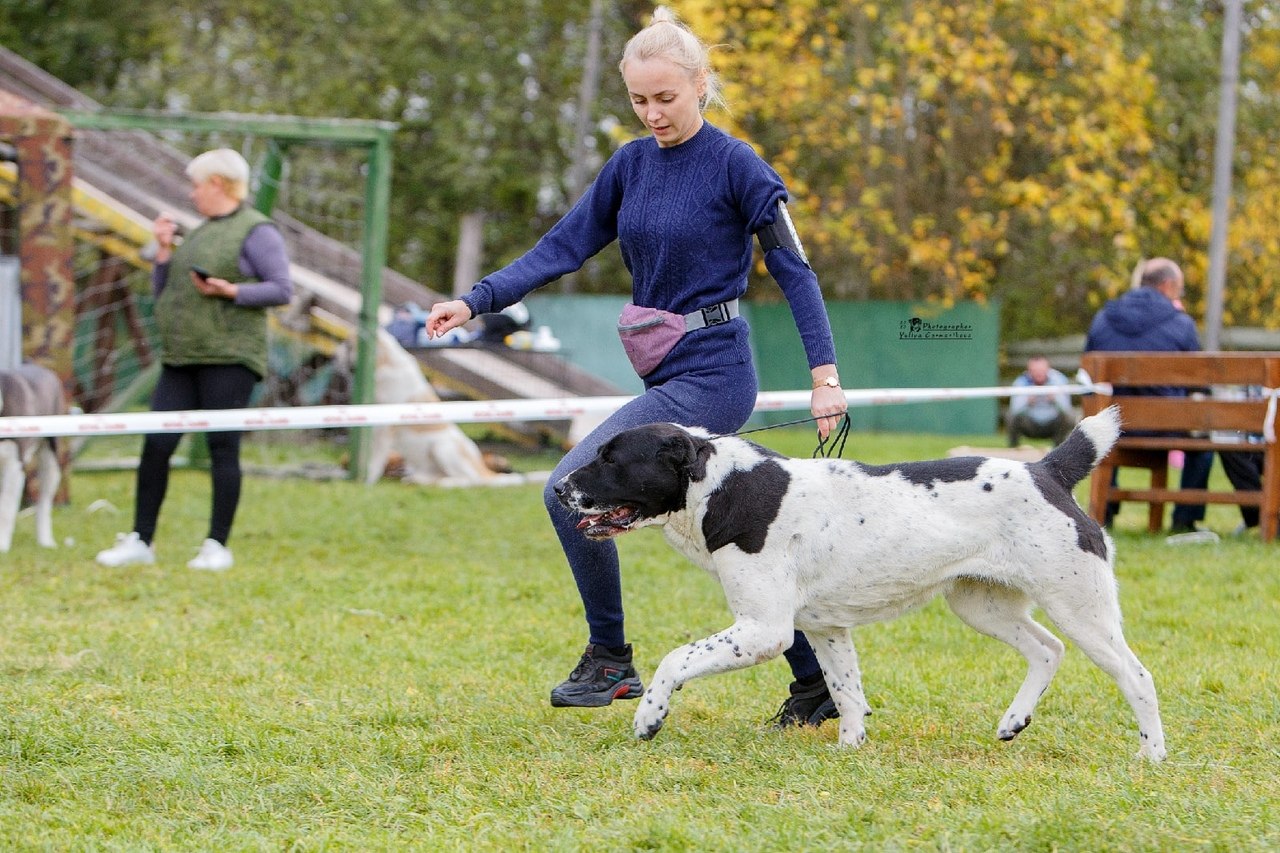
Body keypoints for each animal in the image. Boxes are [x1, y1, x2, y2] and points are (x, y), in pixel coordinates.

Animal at [0, 363, 66, 550]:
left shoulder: (14, 466)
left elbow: (6, 508)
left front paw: (2, 546)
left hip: (51, 457)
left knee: (44, 501)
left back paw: (46, 541)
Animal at [555, 409, 1167, 758]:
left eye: (611, 459)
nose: (559, 488)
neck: (723, 486)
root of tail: (1049, 470)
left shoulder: (765, 629)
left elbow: (674, 660)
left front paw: (648, 717)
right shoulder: (824, 628)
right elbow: (847, 692)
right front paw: (850, 751)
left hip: (1078, 605)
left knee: (1136, 674)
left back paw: (1151, 756)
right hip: (981, 604)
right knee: (1047, 649)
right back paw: (1014, 721)